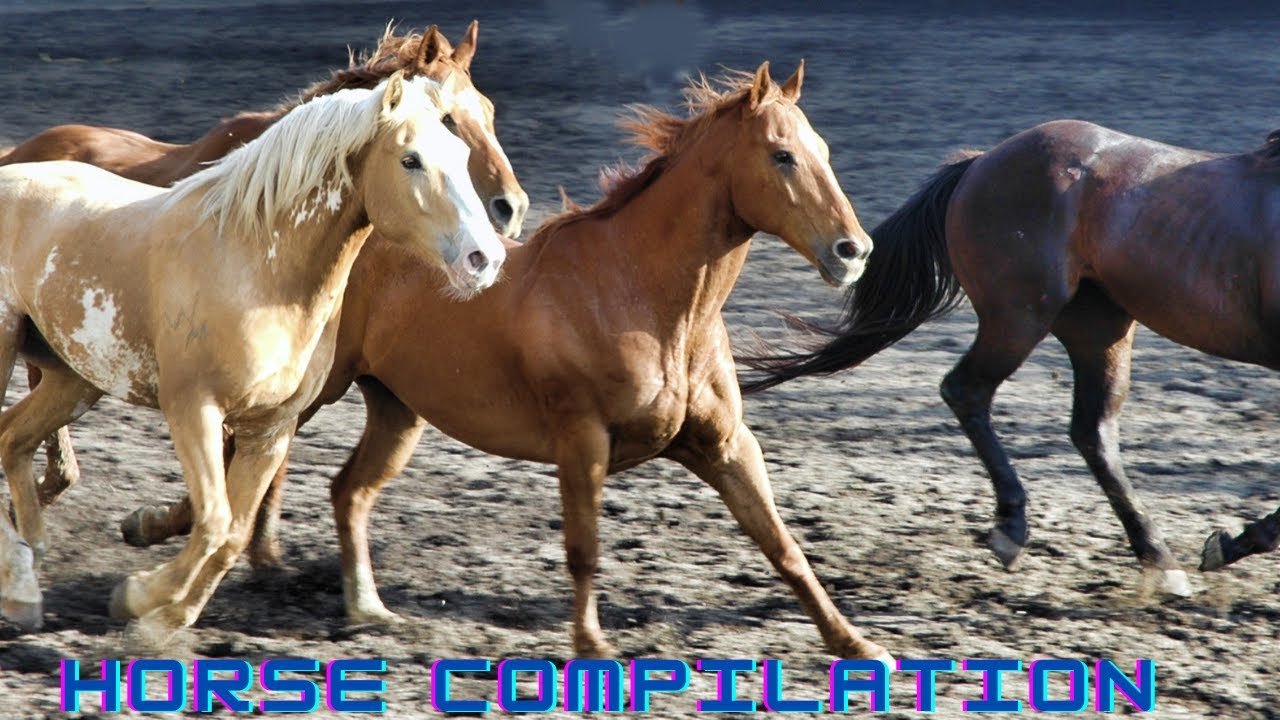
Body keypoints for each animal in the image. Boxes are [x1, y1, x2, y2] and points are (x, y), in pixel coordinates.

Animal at [0, 72, 506, 648]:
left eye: (460, 153)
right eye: (411, 159)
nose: (484, 259)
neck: (256, 264)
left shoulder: (271, 428)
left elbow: (234, 535)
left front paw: (164, 615)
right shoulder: (194, 408)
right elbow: (215, 522)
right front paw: (139, 597)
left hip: (74, 379)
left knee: (12, 439)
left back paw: (25, 584)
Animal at [116, 61, 892, 661]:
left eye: (822, 148)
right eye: (781, 155)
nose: (853, 251)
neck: (642, 297)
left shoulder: (726, 445)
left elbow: (784, 547)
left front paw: (856, 644)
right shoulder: (582, 440)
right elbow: (584, 548)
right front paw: (591, 646)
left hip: (396, 409)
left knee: (347, 490)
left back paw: (366, 610)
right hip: (310, 394)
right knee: (233, 464)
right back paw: (152, 541)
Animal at [740, 118, 1280, 590]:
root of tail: (980, 162)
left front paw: (1229, 543)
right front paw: (1232, 542)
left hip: (1098, 328)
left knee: (1093, 431)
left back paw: (1158, 559)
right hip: (1020, 318)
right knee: (969, 391)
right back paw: (1013, 530)